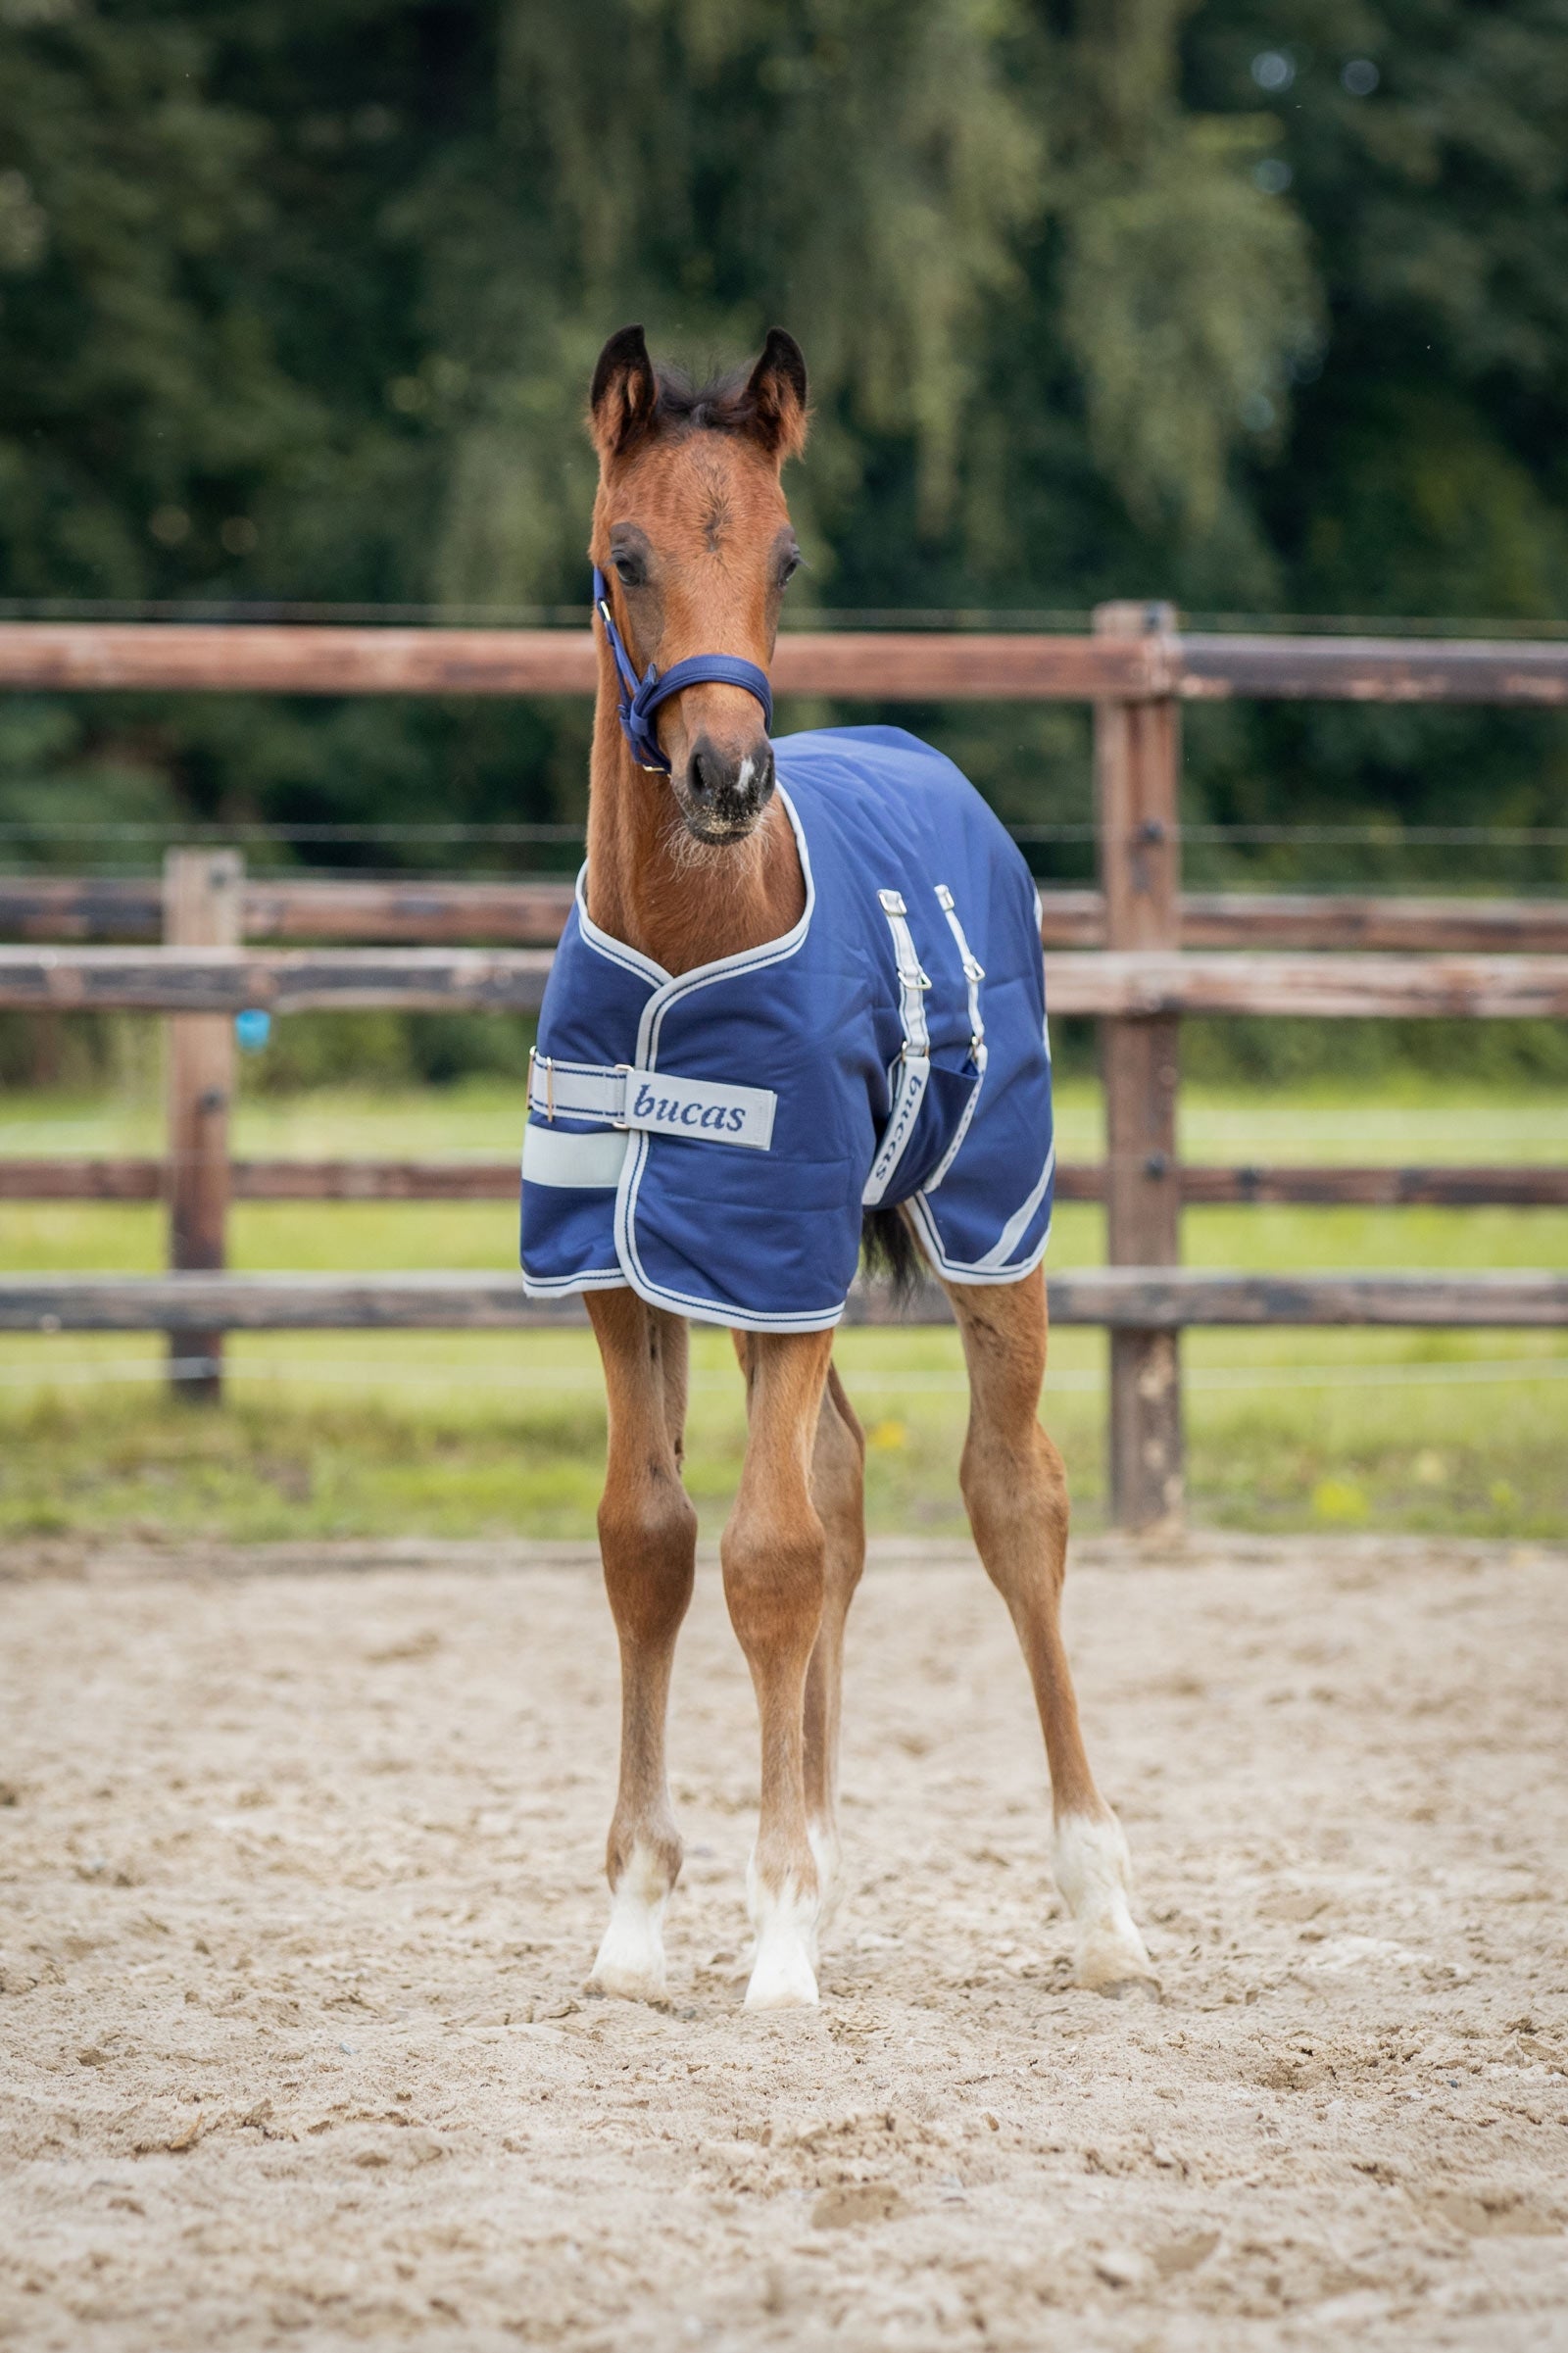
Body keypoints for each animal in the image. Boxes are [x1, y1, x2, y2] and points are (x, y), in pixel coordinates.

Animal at [519, 323, 1157, 2012]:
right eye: (626, 553)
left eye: (785, 554)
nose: (729, 778)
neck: (690, 948)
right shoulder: (634, 1268)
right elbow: (654, 1542)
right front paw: (643, 1922)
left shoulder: (782, 1247)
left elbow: (772, 1556)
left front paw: (781, 1940)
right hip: (763, 1285)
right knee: (849, 1480)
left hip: (993, 1224)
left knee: (1013, 1500)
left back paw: (1102, 1905)